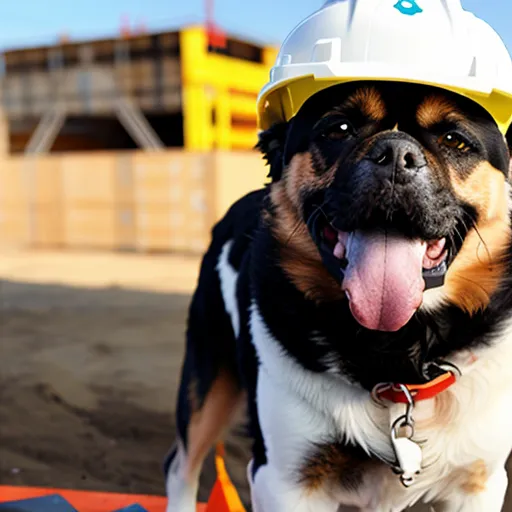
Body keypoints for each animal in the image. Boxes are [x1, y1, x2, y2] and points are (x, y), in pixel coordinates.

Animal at [166, 82, 512, 510]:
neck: (396, 355)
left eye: (454, 140)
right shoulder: (287, 479)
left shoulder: (477, 483)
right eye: (339, 129)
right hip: (208, 375)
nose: (395, 155)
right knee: (181, 463)